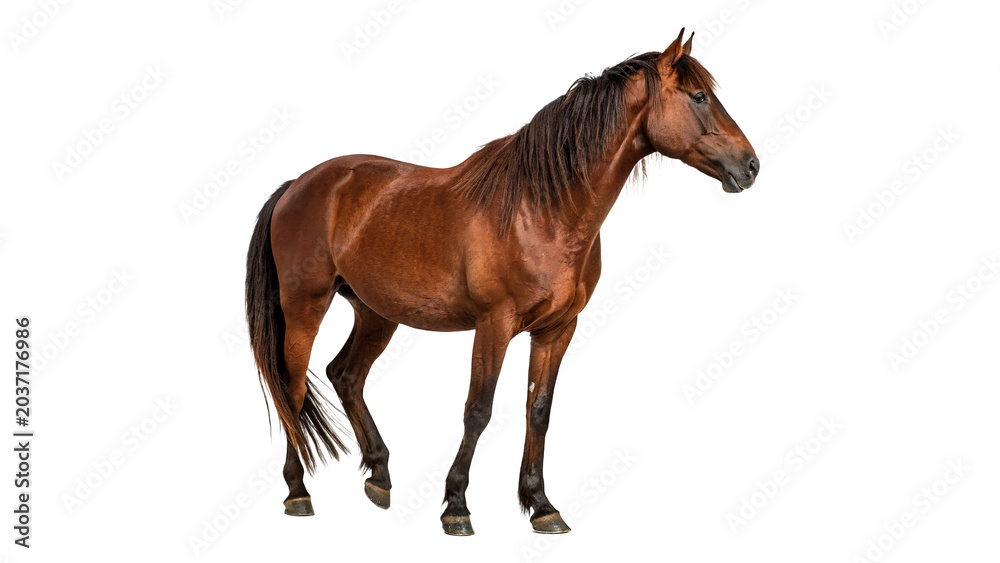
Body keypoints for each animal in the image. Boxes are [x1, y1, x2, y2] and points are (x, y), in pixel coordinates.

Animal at [245, 28, 758, 536]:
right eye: (699, 97)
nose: (750, 165)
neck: (542, 208)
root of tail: (298, 185)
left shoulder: (556, 330)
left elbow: (539, 410)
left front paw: (541, 504)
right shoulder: (494, 325)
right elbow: (479, 410)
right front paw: (456, 506)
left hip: (376, 313)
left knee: (345, 375)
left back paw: (380, 476)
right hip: (306, 307)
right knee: (293, 390)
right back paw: (298, 492)